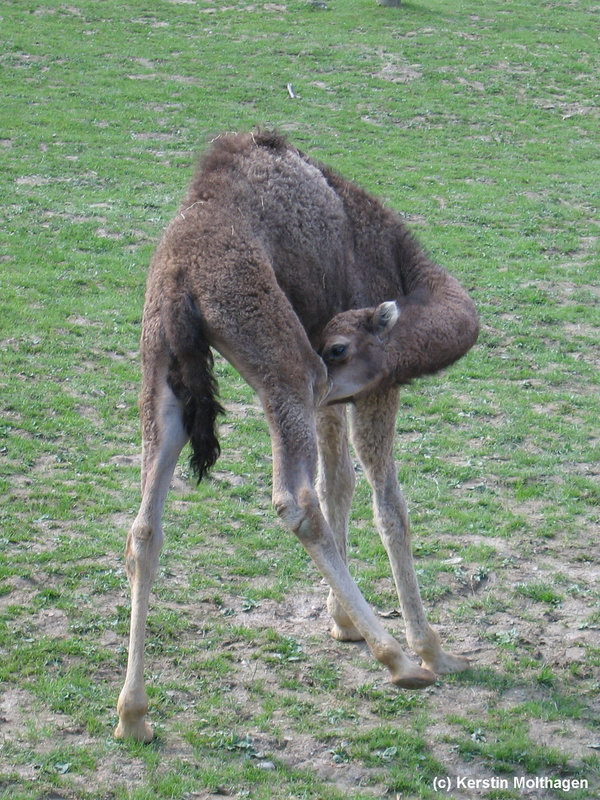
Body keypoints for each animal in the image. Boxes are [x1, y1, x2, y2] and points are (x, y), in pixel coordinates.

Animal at [113, 131, 478, 744]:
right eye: (336, 347)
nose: (328, 363)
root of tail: (183, 275)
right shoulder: (374, 388)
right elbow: (388, 504)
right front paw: (434, 650)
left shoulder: (334, 402)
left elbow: (341, 484)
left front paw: (342, 621)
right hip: (286, 366)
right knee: (294, 499)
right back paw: (400, 662)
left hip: (163, 368)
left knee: (144, 527)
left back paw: (133, 715)